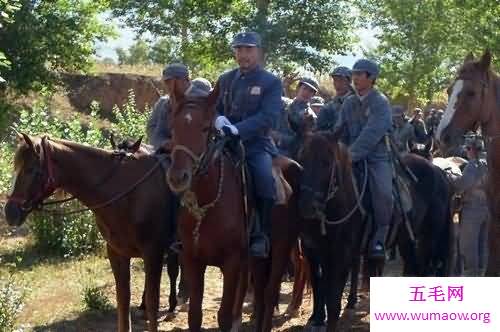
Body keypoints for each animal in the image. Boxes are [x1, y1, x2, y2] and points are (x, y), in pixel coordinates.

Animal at [2, 134, 176, 332]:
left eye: (31, 170)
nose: (9, 212)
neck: (126, 192)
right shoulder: (117, 253)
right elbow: (123, 300)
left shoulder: (153, 253)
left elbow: (153, 302)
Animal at [167, 87, 300, 330]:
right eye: (174, 127)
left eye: (204, 128)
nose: (178, 177)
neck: (207, 204)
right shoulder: (192, 260)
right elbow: (194, 315)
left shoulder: (231, 264)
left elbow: (225, 316)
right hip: (257, 259)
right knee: (260, 292)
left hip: (281, 248)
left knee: (269, 293)